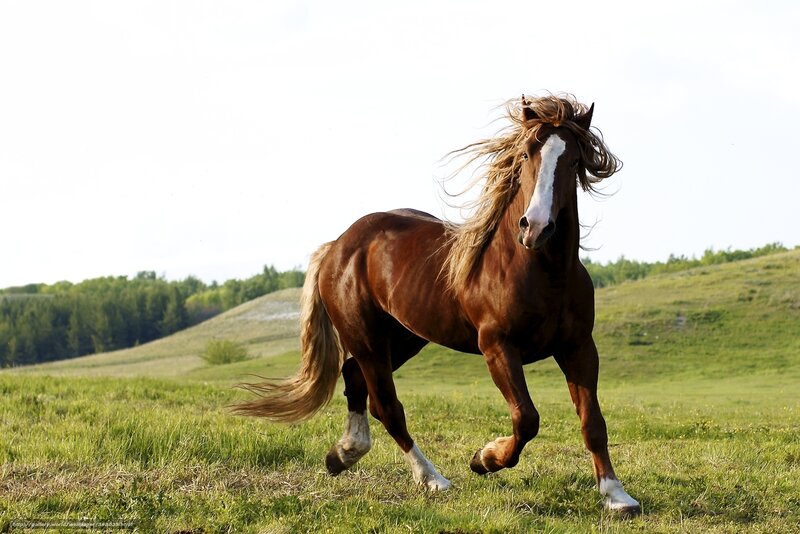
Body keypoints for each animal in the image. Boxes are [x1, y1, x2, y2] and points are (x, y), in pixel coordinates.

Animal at [235, 94, 641, 515]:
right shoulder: (497, 347)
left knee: (354, 378)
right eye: (526, 153)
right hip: (367, 339)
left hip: (403, 339)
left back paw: (343, 454)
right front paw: (484, 459)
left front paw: (616, 495)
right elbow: (526, 418)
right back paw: (432, 479)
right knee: (387, 407)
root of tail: (339, 245)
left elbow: (592, 422)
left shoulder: (578, 347)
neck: (540, 270)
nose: (536, 227)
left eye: (575, 161)